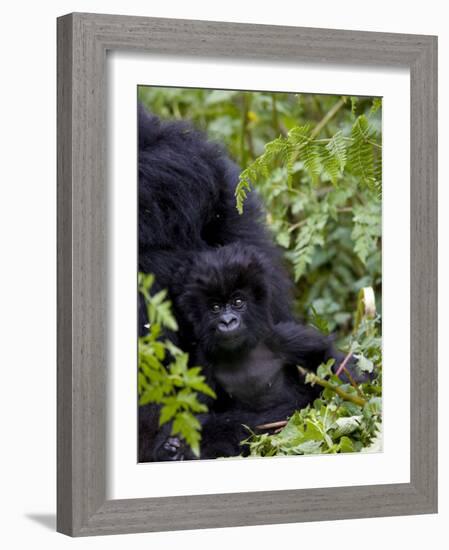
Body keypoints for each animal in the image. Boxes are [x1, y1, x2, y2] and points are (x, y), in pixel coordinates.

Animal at [154, 244, 360, 464]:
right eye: (215, 307)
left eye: (238, 302)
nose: (228, 321)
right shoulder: (201, 364)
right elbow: (192, 412)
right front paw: (174, 446)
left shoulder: (281, 338)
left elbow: (326, 357)